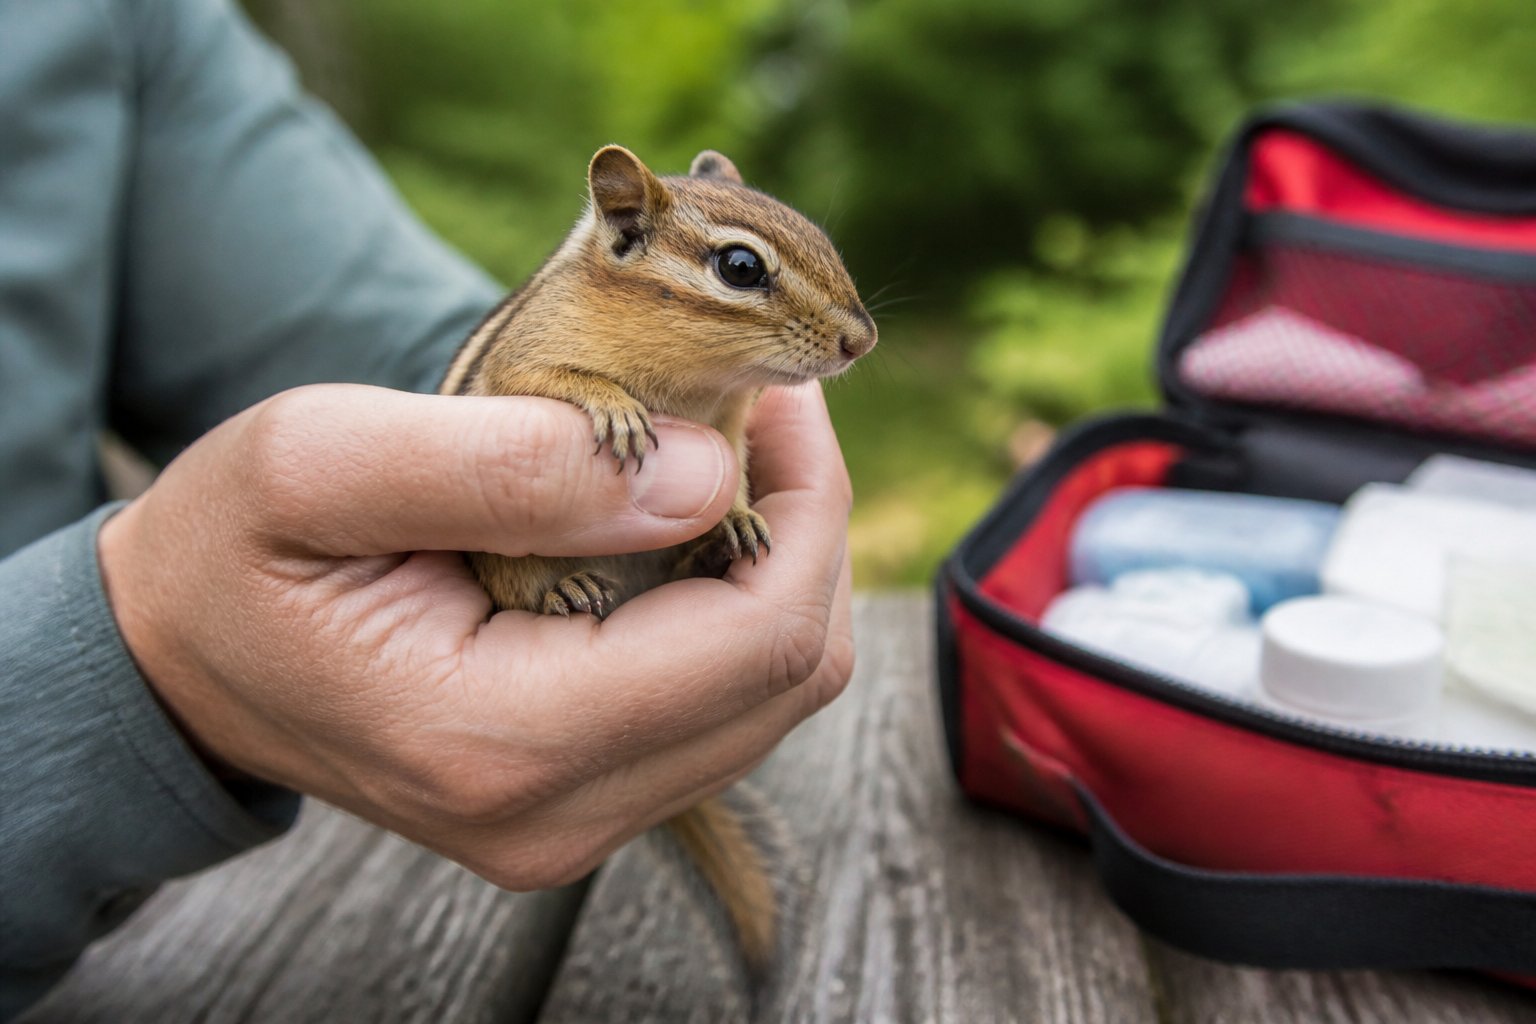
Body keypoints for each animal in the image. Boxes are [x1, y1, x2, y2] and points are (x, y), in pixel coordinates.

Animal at [440, 145, 876, 971]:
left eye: (828, 244)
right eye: (741, 266)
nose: (861, 342)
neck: (695, 386)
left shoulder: (733, 424)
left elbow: (735, 473)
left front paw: (735, 516)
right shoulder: (521, 367)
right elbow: (554, 378)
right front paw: (612, 404)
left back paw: (706, 556)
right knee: (520, 584)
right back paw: (566, 589)